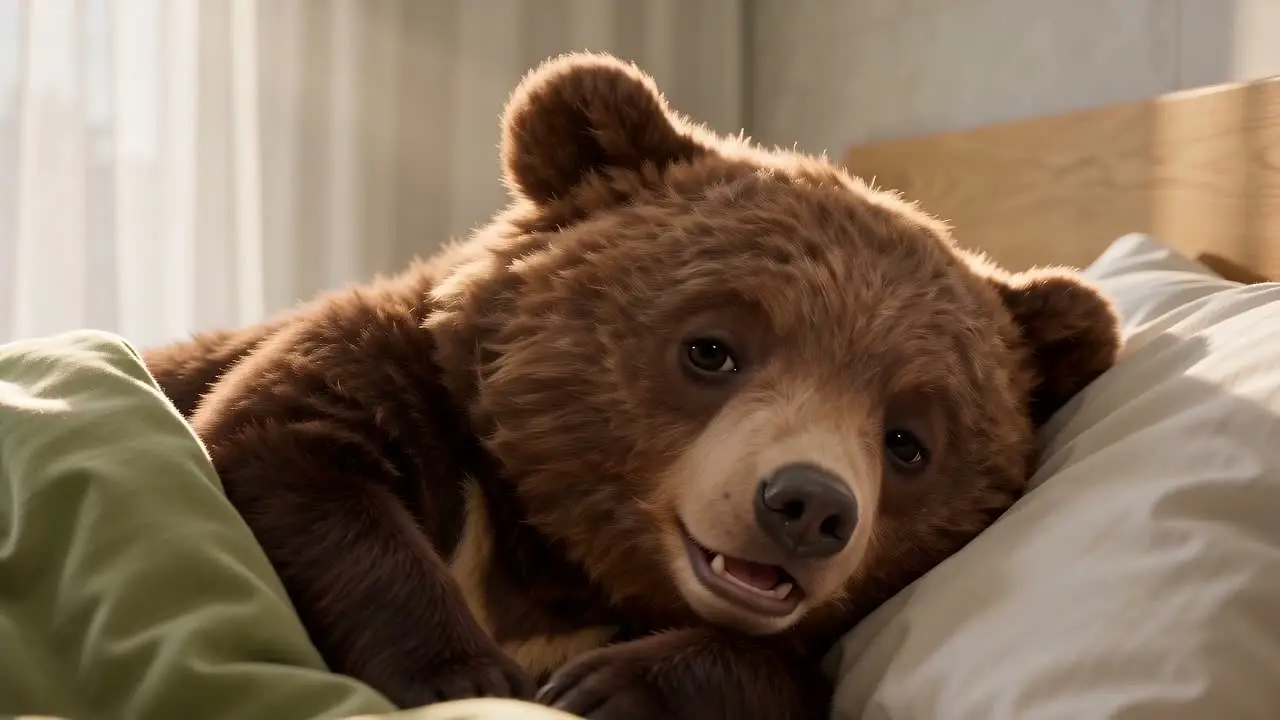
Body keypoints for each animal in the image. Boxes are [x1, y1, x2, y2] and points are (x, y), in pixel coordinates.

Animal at [142, 51, 1121, 719]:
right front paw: (464, 671)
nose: (807, 505)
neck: (560, 559)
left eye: (909, 440)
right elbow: (294, 455)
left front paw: (605, 687)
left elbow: (780, 673)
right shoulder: (399, 382)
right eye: (711, 349)